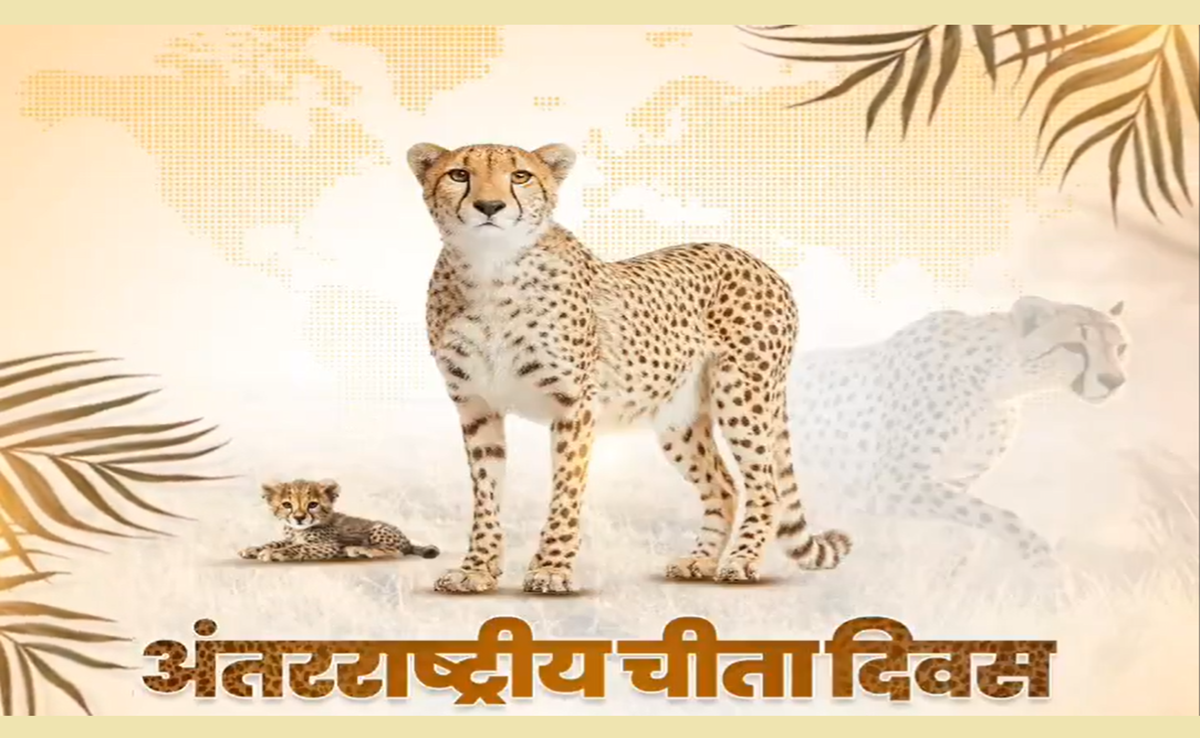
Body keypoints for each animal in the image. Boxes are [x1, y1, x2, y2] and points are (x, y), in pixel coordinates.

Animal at [238, 478, 440, 562]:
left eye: (312, 505)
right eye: (287, 505)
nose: (299, 517)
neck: (298, 529)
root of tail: (407, 540)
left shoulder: (331, 545)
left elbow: (300, 547)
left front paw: (272, 554)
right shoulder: (290, 537)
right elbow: (276, 542)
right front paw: (254, 549)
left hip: (377, 528)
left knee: (397, 552)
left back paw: (359, 550)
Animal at [407, 140, 852, 595]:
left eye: (521, 176)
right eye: (459, 174)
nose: (490, 206)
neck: (491, 270)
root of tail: (756, 260)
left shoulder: (574, 406)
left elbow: (566, 490)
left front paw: (551, 568)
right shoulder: (476, 406)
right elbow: (487, 493)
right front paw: (477, 568)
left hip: (743, 397)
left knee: (766, 487)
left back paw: (741, 561)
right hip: (679, 420)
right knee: (724, 487)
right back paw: (701, 561)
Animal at [787, 296, 1129, 568]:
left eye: (1121, 348)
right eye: (1074, 346)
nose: (1114, 381)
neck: (1001, 384)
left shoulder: (954, 481)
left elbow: (965, 525)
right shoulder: (887, 484)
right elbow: (1003, 518)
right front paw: (1039, 556)